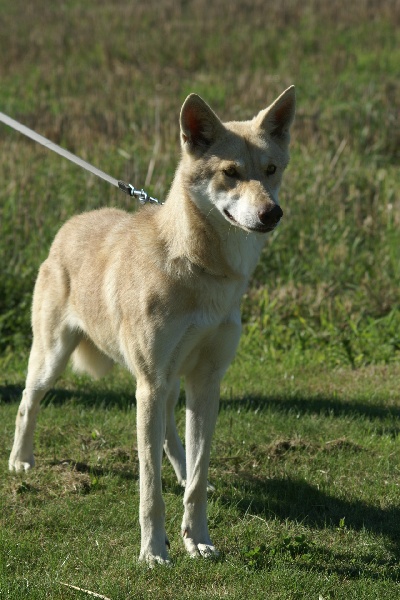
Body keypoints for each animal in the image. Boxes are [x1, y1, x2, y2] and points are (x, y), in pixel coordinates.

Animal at [9, 86, 295, 564]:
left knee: (171, 437)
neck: (202, 268)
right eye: (231, 173)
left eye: (270, 170)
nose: (272, 213)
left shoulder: (205, 383)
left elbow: (197, 478)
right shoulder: (152, 383)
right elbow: (149, 489)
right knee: (27, 403)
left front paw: (197, 538)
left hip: (166, 383)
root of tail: (70, 224)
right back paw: (21, 460)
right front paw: (153, 551)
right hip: (55, 360)